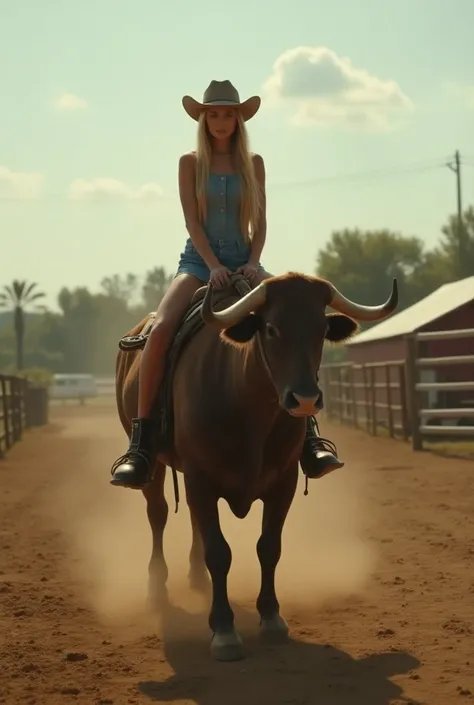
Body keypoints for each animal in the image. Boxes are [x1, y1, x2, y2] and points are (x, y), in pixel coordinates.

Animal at [115, 270, 400, 660]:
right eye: (271, 328)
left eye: (320, 329)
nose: (305, 399)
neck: (247, 404)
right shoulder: (202, 480)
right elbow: (219, 552)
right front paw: (223, 629)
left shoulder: (283, 482)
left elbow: (268, 547)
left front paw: (271, 617)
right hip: (155, 465)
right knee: (157, 514)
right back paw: (158, 587)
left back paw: (196, 577)